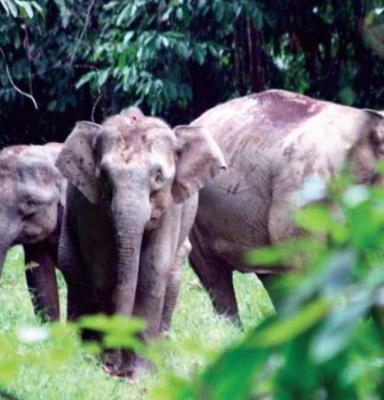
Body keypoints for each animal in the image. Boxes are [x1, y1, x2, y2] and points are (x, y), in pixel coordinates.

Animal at [55, 108, 226, 376]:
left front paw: (139, 374)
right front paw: (106, 366)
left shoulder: (171, 208)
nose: (114, 367)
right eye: (104, 177)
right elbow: (102, 272)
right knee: (75, 273)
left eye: (159, 177)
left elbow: (152, 271)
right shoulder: (91, 207)